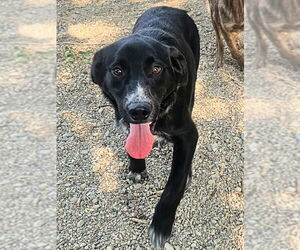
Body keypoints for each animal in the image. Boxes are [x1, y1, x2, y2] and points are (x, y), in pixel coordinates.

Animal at [91, 6, 199, 248]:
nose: (139, 110)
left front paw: (161, 224)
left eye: (157, 69)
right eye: (117, 71)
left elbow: (174, 185)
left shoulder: (188, 134)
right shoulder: (124, 120)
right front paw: (137, 168)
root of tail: (173, 8)